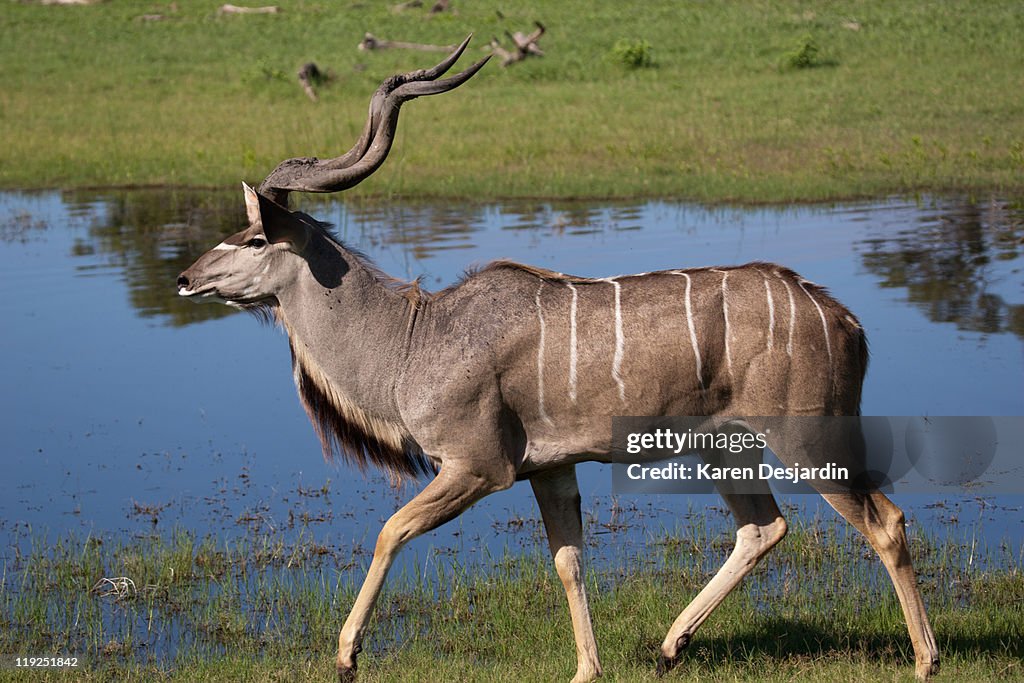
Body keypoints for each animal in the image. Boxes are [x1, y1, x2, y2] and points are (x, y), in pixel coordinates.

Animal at [174, 36, 937, 683]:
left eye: (252, 238)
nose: (184, 278)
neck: (415, 334)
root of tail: (842, 318)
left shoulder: (478, 466)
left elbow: (391, 529)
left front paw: (345, 654)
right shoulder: (551, 469)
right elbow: (568, 559)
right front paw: (586, 669)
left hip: (806, 437)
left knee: (885, 521)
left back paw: (925, 659)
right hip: (725, 447)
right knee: (763, 527)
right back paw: (669, 645)